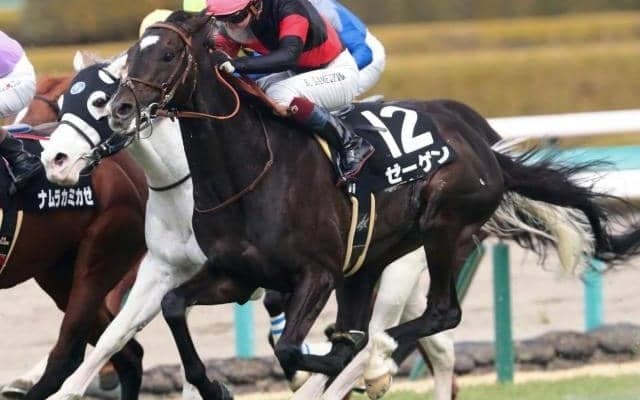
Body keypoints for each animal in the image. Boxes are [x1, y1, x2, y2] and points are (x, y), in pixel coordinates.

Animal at [40, 52, 464, 400]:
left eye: (98, 101)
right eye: (62, 104)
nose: (55, 160)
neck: (187, 180)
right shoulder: (162, 268)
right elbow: (116, 334)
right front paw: (61, 390)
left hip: (393, 273)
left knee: (368, 343)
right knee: (435, 347)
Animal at [102, 12, 640, 400]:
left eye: (168, 53)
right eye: (129, 57)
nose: (121, 109)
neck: (249, 172)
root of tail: (486, 148)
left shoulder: (316, 273)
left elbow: (295, 347)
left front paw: (340, 362)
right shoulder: (237, 275)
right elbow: (174, 305)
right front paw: (213, 385)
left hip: (443, 226)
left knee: (439, 314)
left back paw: (377, 360)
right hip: (366, 263)